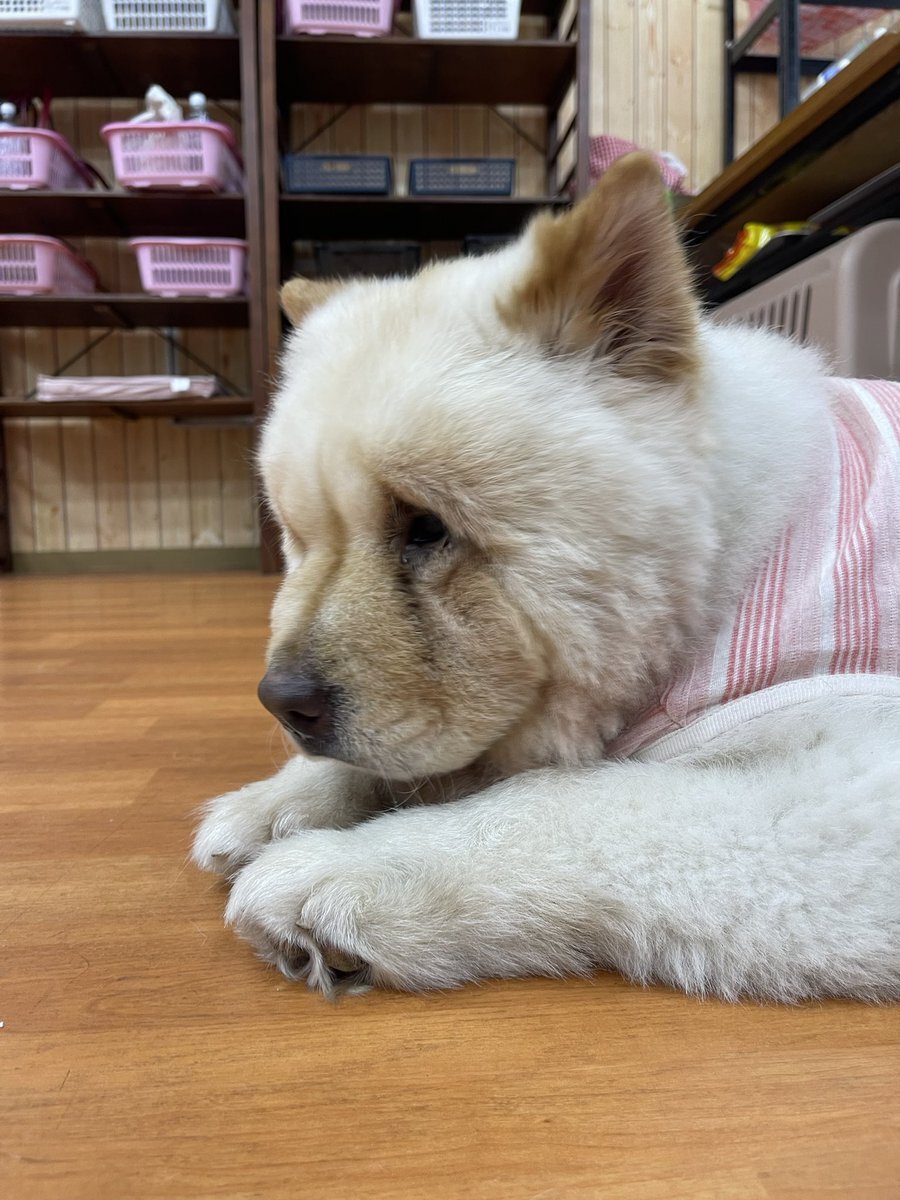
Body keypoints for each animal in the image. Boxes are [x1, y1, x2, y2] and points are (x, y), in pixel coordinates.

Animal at [193, 154, 900, 1003]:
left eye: (426, 528)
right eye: (302, 537)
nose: (281, 702)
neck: (724, 570)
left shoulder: (852, 786)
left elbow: (566, 802)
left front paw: (336, 872)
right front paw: (271, 803)